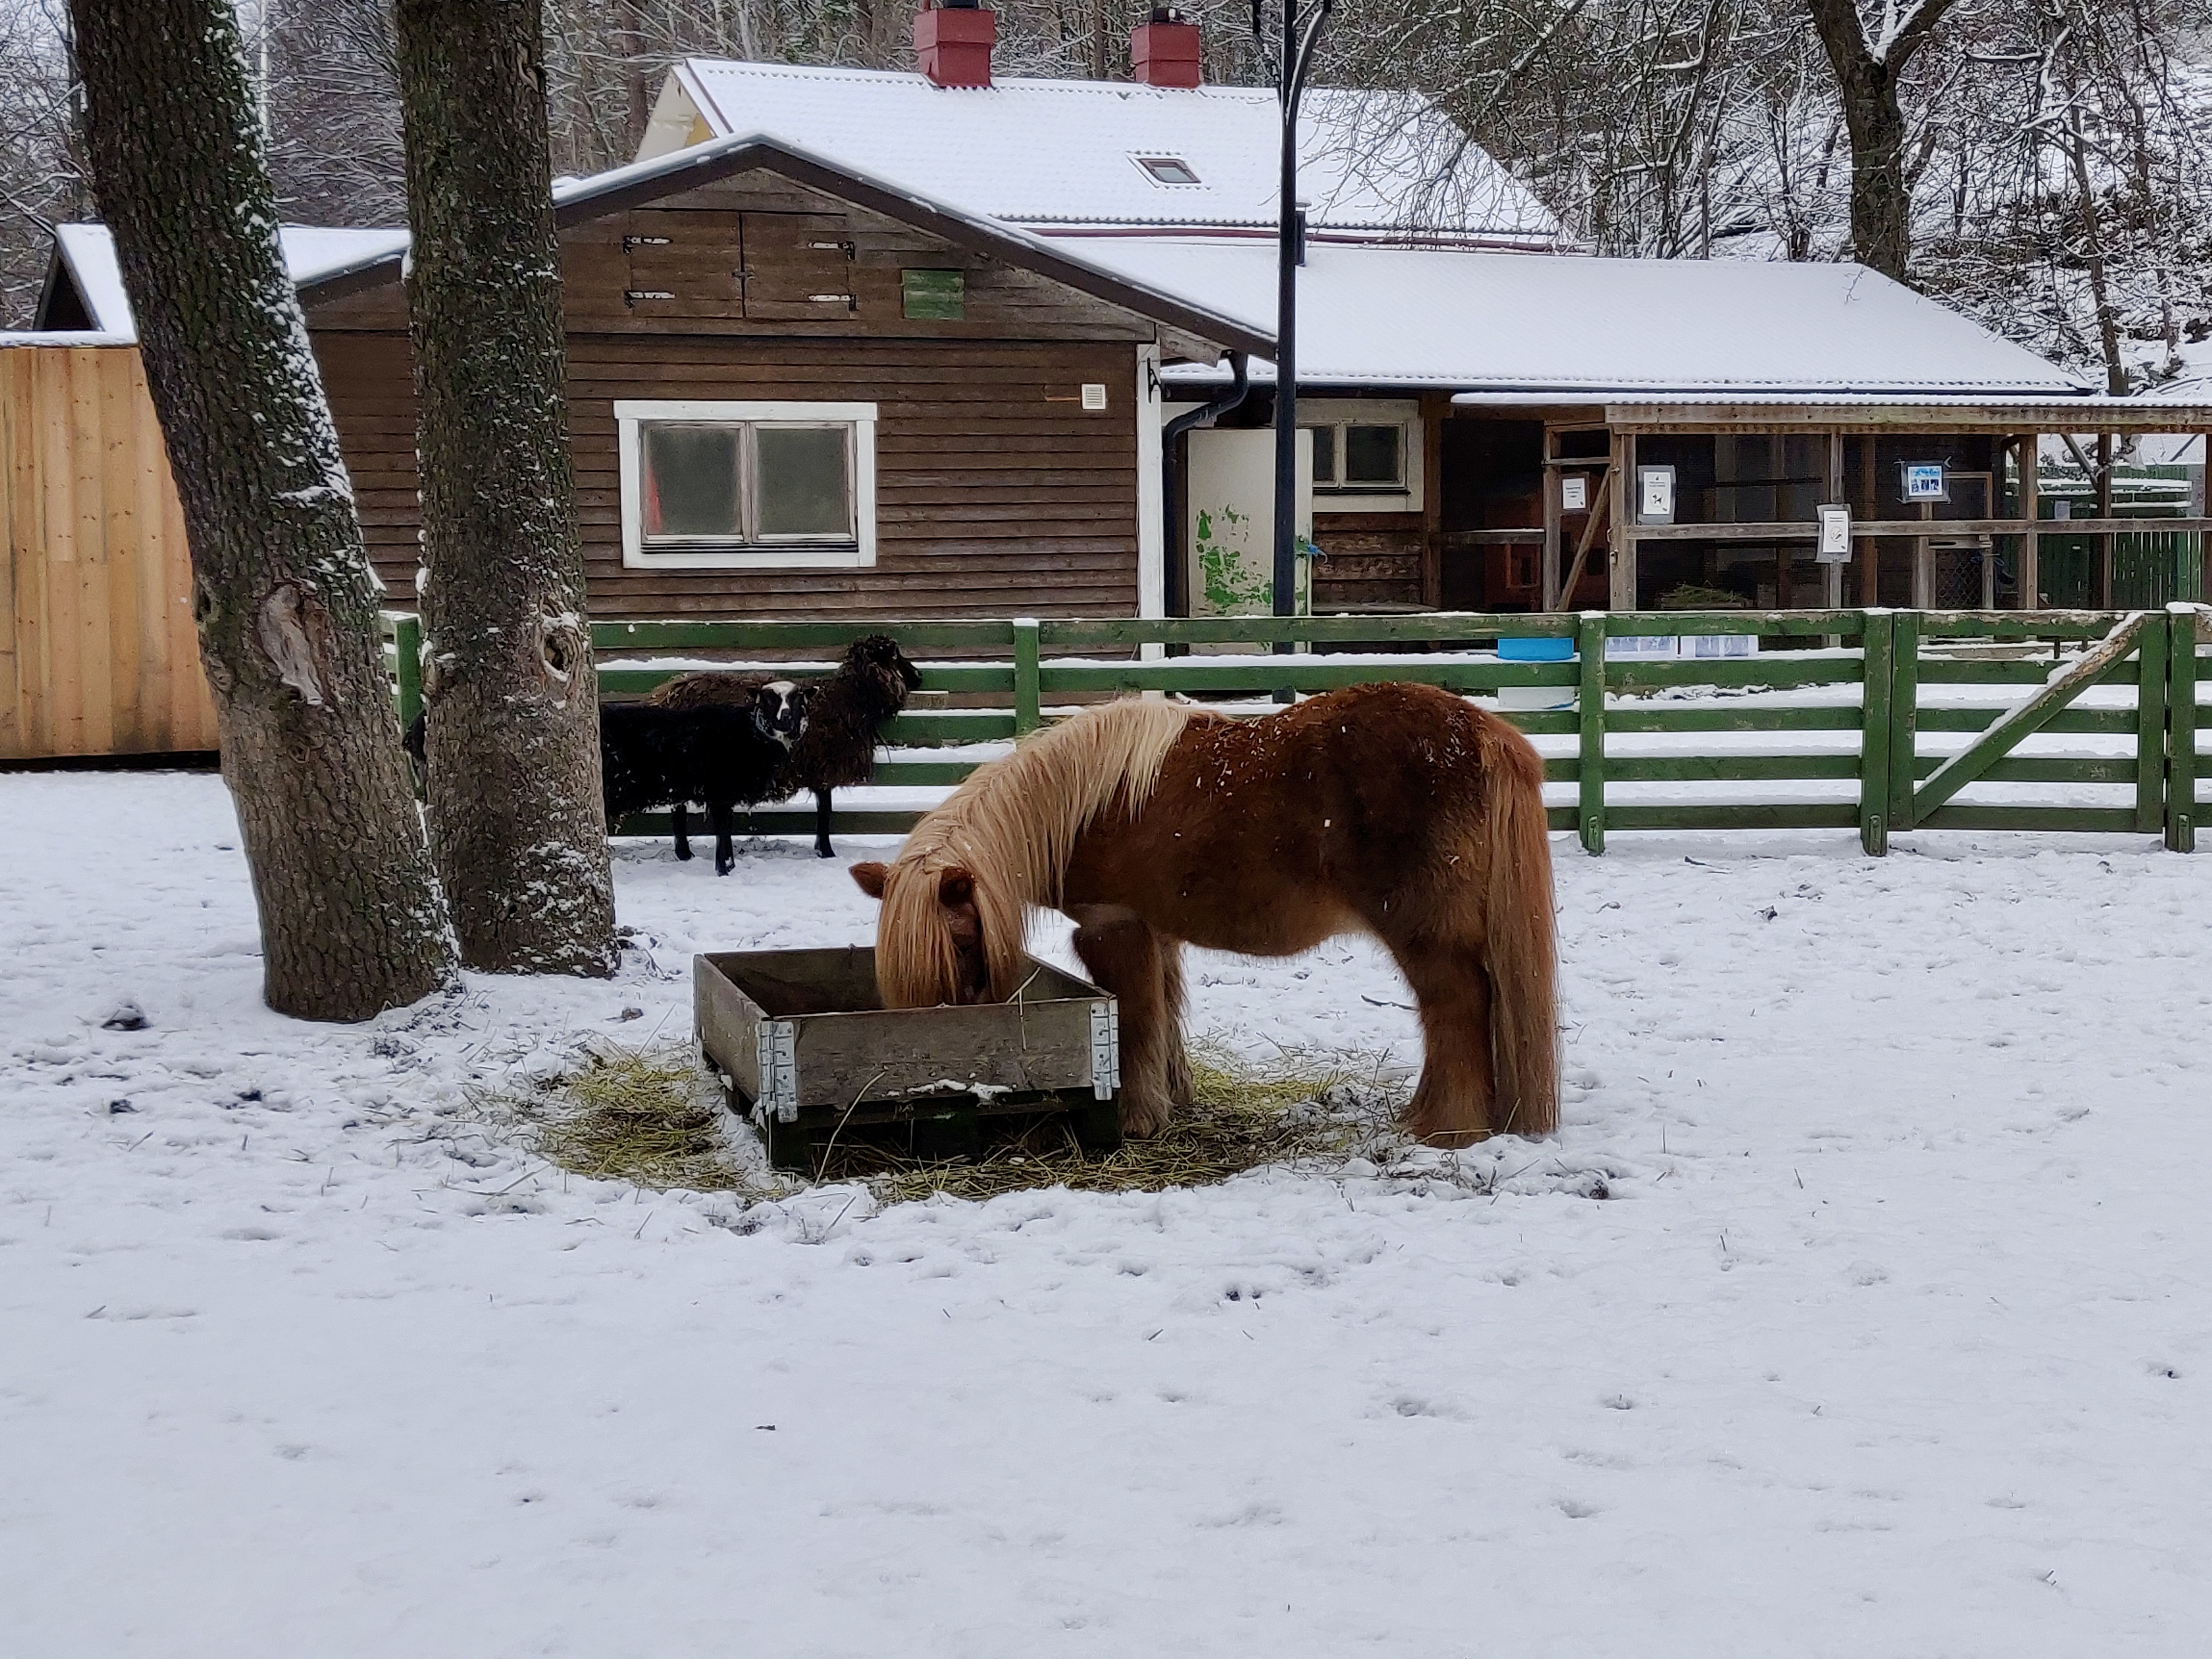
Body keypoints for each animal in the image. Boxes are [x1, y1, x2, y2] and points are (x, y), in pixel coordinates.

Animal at [849, 682, 1560, 1146]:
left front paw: (1137, 1119)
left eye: (966, 945)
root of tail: (1483, 733)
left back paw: (1449, 1128)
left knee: (1457, 1006)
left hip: (1422, 932)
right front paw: (1177, 1098)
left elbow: (1136, 1023)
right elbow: (1165, 1014)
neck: (1076, 806)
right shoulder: (1155, 933)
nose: (944, 1081)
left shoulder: (1113, 929)